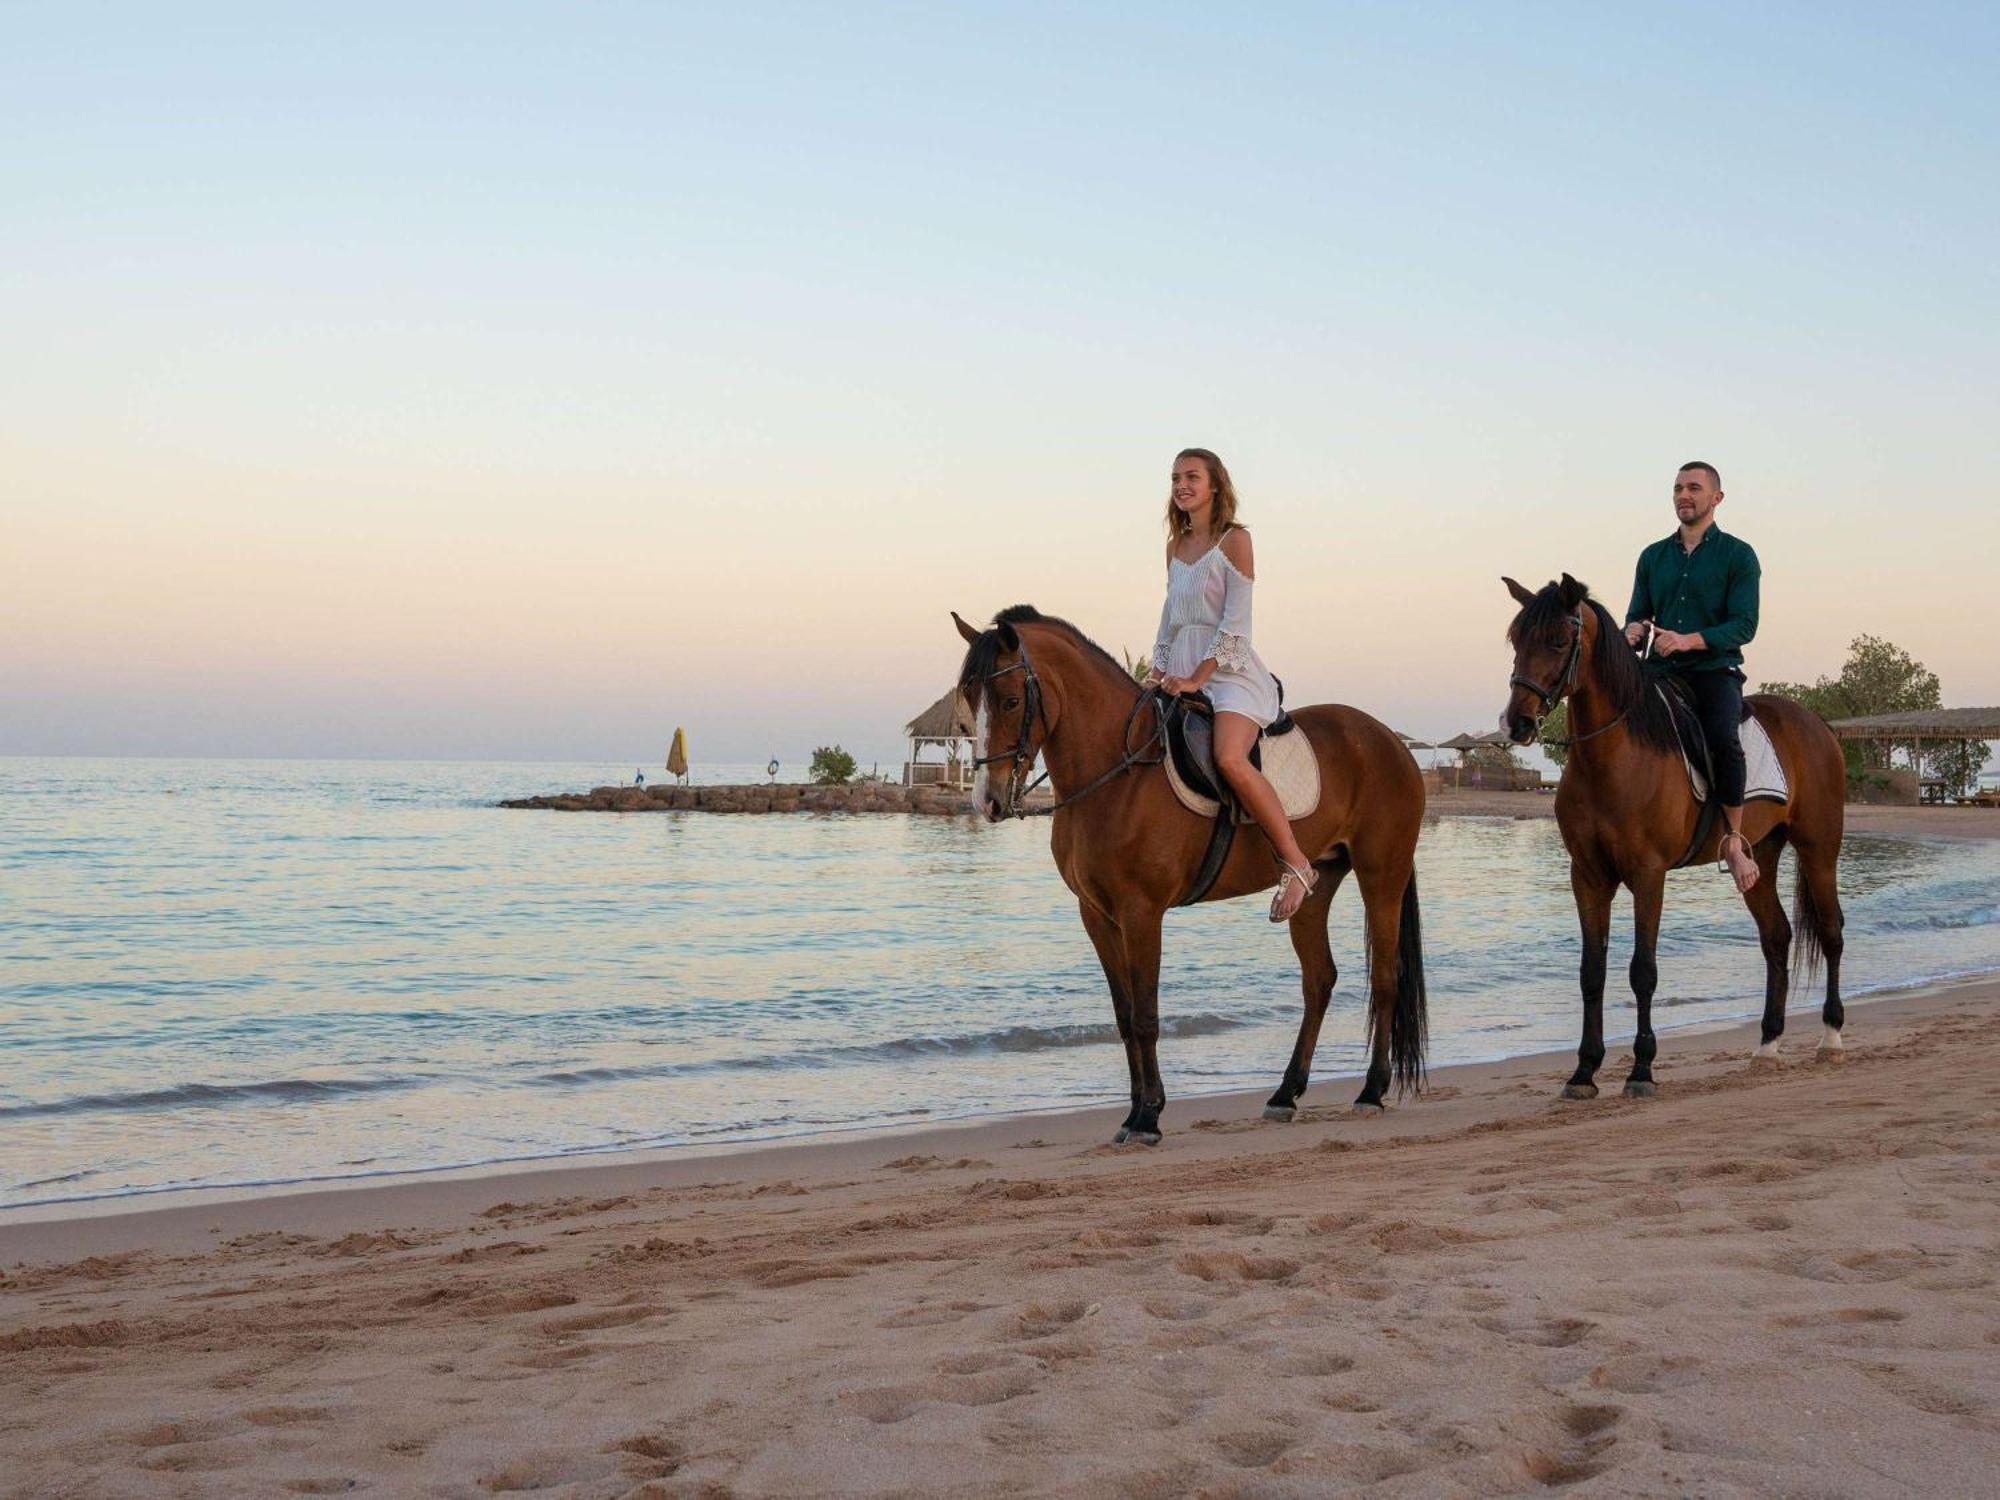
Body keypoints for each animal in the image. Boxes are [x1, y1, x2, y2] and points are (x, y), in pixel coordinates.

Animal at [948, 604, 1424, 1144]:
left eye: (1010, 701)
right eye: (969, 701)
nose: (987, 800)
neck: (1120, 773)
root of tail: (1390, 741)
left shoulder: (1141, 912)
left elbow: (1146, 1015)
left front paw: (1148, 1117)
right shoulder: (1096, 916)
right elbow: (1125, 1015)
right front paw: (1133, 1113)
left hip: (1381, 873)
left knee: (1384, 977)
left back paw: (1371, 1090)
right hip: (1314, 884)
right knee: (1318, 980)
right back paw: (1285, 1094)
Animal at [1504, 568, 1840, 1096]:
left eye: (1558, 640)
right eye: (1516, 639)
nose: (1517, 722)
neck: (1615, 756)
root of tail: (1817, 725)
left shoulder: (1648, 875)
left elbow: (1643, 971)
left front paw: (1641, 1069)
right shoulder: (1588, 877)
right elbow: (1591, 972)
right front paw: (1584, 1071)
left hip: (1820, 849)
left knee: (1830, 932)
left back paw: (1831, 1036)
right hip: (1760, 857)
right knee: (1777, 937)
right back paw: (1768, 1044)